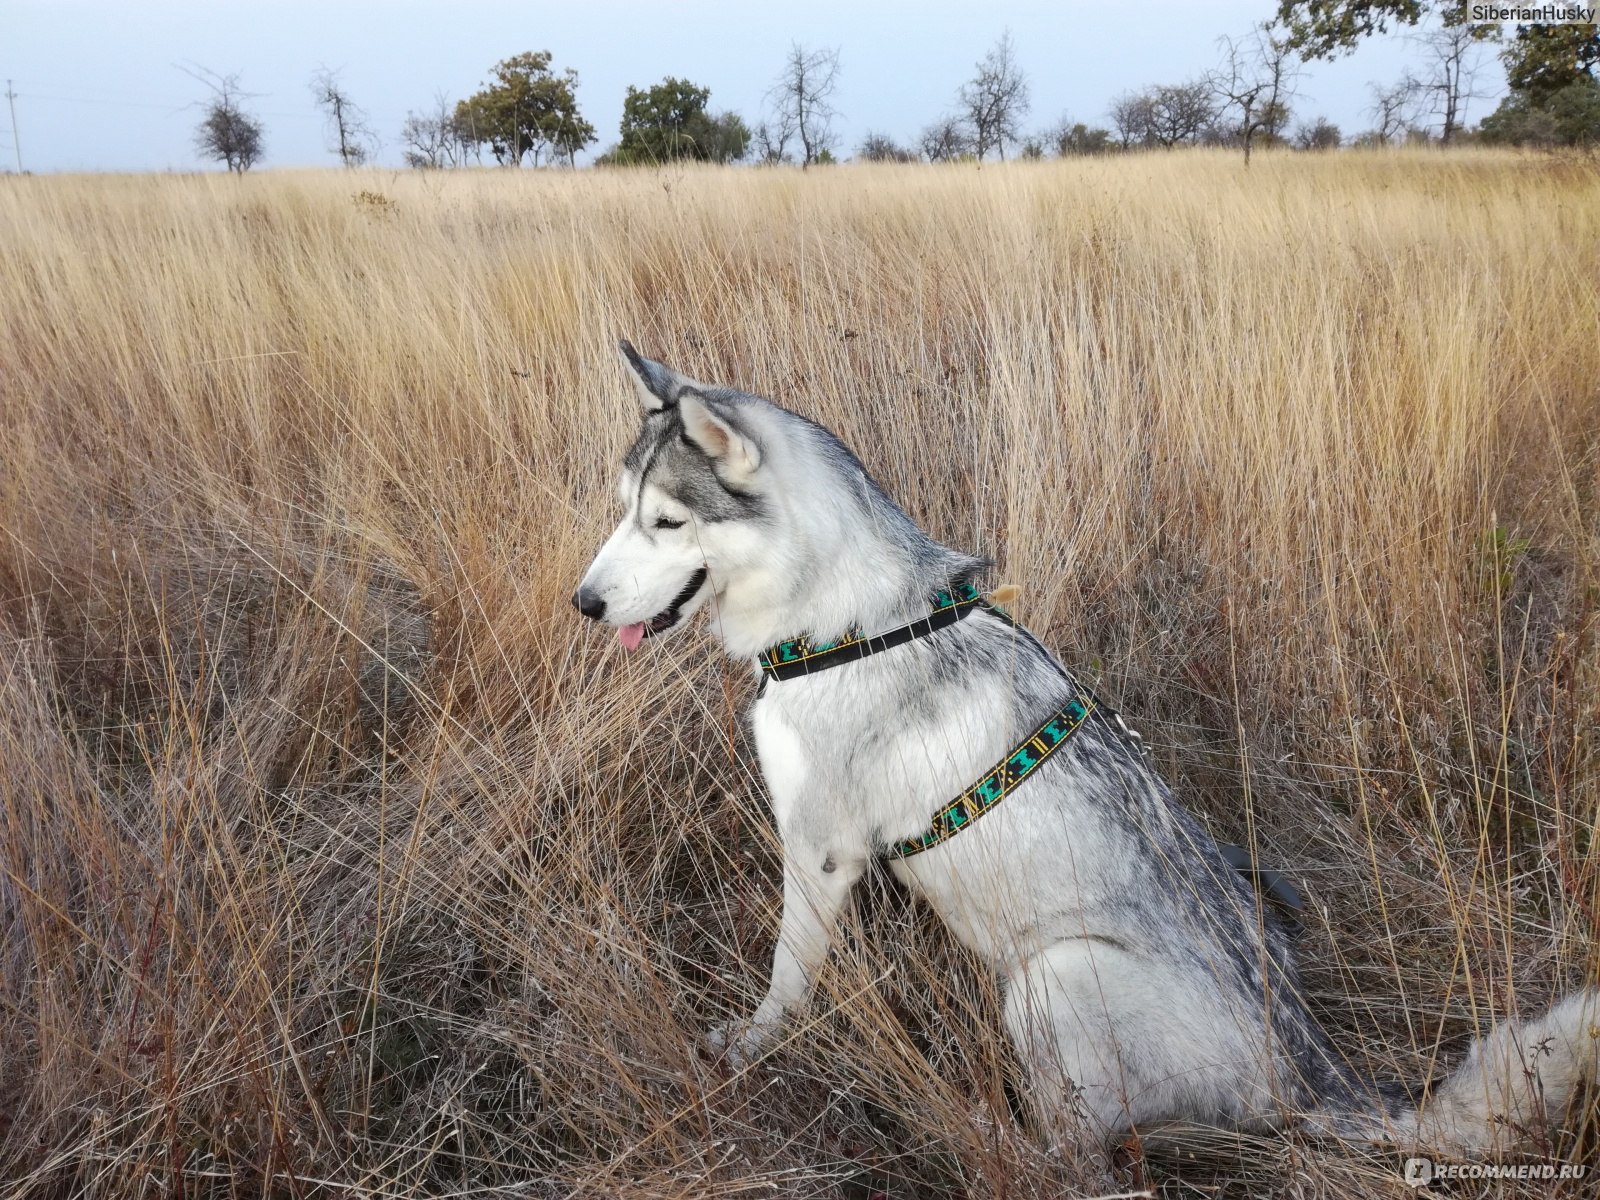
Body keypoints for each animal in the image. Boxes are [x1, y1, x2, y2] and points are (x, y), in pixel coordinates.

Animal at [576, 340, 1600, 1158]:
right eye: (622, 508)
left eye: (666, 521)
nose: (583, 603)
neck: (846, 623)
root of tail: (1314, 1074)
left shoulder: (820, 853)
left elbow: (789, 977)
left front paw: (755, 1045)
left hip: (1051, 977)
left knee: (1076, 1154)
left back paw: (987, 1132)